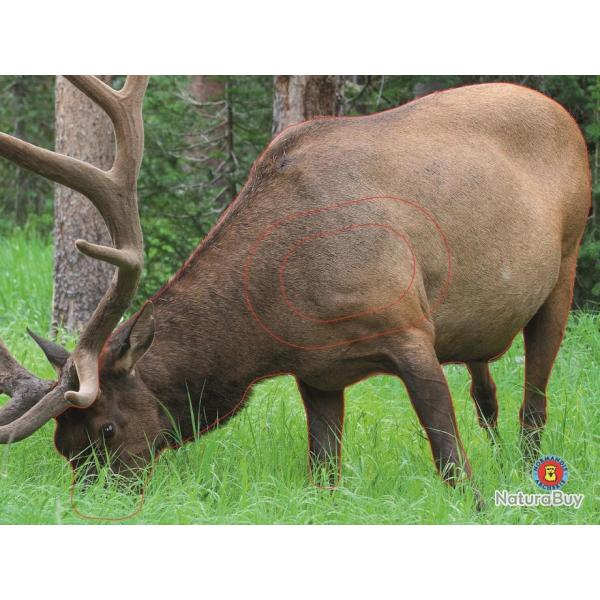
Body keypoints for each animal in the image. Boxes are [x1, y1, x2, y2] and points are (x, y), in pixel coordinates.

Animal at [0, 77, 592, 494]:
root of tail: (563, 115)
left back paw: (525, 468)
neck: (276, 318)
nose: (98, 502)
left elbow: (452, 466)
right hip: (476, 325)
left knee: (533, 404)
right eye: (62, 446)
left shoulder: (409, 329)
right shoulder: (318, 374)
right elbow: (322, 476)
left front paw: (477, 504)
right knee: (485, 390)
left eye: (107, 430)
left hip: (564, 267)